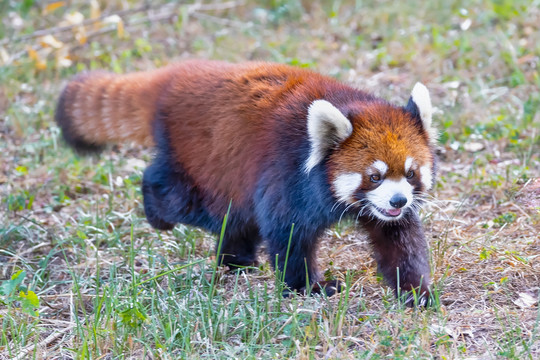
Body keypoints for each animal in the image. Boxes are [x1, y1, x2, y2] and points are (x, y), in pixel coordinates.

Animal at [54, 59, 436, 304]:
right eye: (374, 176)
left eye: (410, 173)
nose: (398, 201)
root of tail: (173, 77)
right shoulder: (288, 175)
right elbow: (288, 235)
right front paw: (307, 288)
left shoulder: (381, 214)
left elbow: (400, 241)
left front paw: (416, 291)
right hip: (204, 158)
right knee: (188, 199)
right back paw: (158, 211)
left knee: (236, 216)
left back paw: (237, 260)